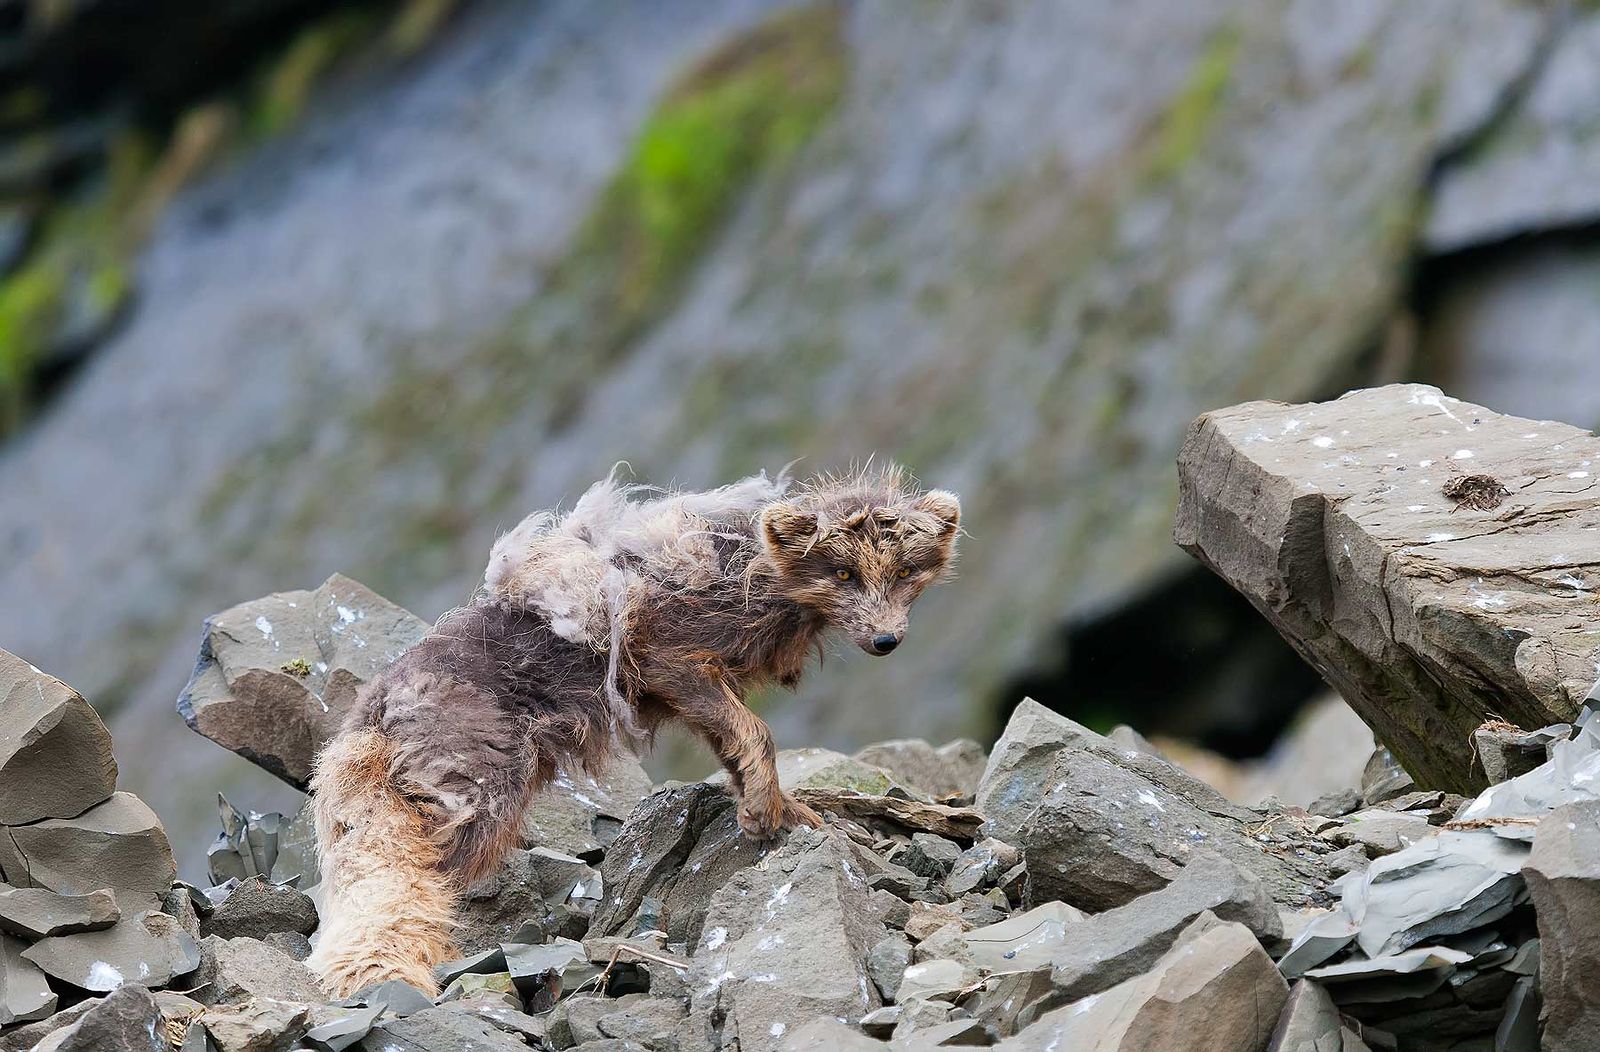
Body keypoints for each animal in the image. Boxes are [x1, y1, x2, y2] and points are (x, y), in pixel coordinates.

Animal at [312, 463, 960, 991]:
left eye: (905, 571)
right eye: (843, 574)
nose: (886, 639)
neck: (753, 571)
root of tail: (369, 718)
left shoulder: (695, 687)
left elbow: (733, 746)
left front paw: (781, 809)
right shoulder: (669, 659)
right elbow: (756, 732)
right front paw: (764, 813)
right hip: (478, 797)